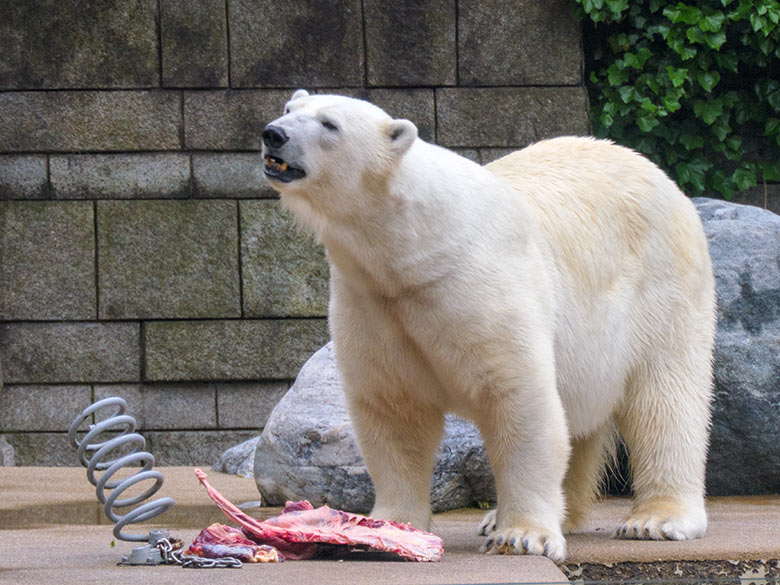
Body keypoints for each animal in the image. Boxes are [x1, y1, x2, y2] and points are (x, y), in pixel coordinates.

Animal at [258, 90, 716, 560]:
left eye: (330, 124)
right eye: (290, 110)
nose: (273, 134)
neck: (412, 250)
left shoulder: (480, 285)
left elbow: (520, 401)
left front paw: (522, 536)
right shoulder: (372, 301)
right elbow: (394, 411)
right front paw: (389, 526)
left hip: (663, 285)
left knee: (664, 398)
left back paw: (656, 519)